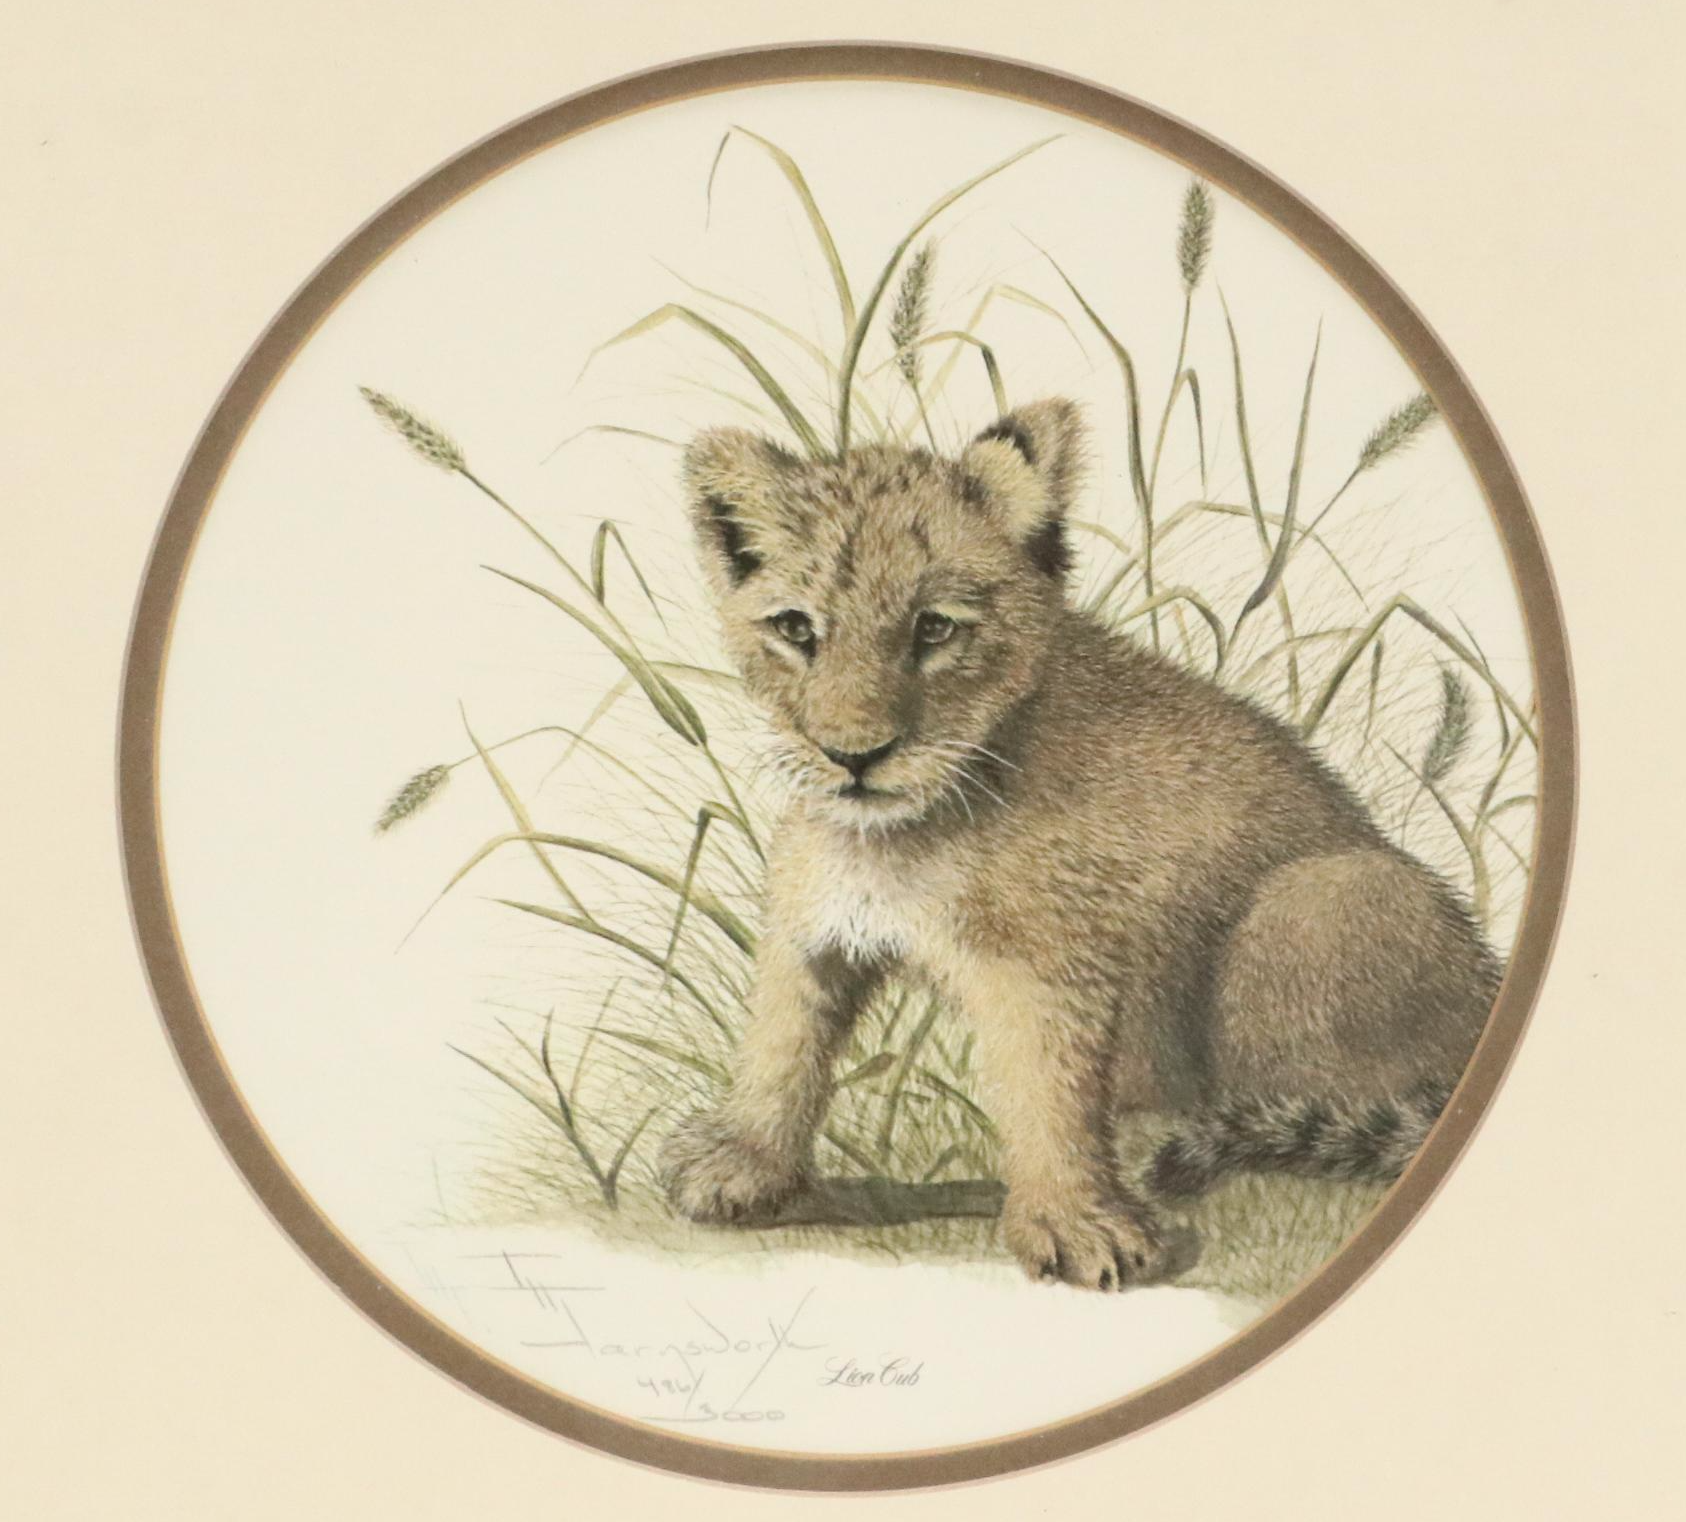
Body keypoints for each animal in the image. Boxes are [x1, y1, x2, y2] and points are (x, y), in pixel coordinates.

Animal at [657, 397, 1500, 1291]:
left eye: (934, 628)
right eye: (795, 628)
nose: (854, 756)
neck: (897, 834)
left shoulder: (1055, 963)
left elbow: (1048, 1089)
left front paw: (1075, 1220)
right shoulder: (811, 928)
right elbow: (782, 1041)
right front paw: (743, 1160)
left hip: (1317, 904)